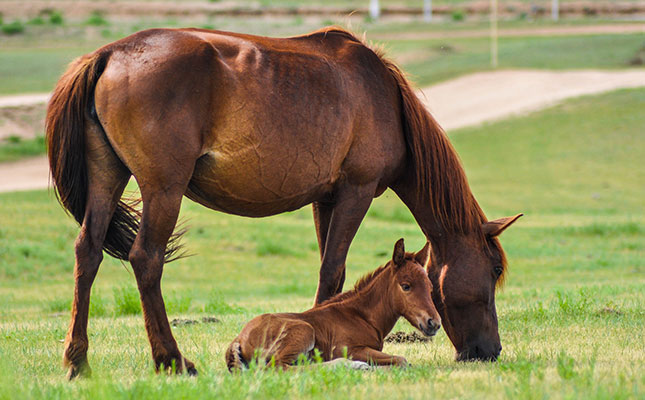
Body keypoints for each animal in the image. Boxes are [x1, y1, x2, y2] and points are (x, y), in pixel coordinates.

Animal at [224, 239, 440, 370]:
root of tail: (238, 339)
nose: (434, 323)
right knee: (280, 368)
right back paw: (351, 365)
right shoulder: (349, 348)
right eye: (406, 286)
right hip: (304, 331)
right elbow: (401, 360)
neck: (361, 316)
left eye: (430, 287)